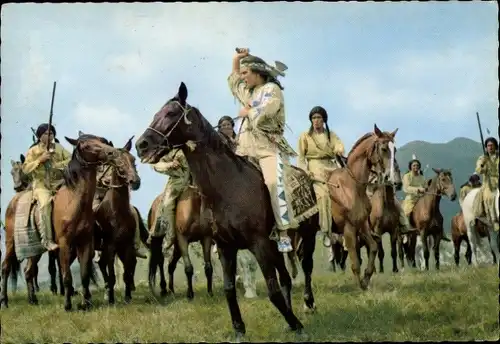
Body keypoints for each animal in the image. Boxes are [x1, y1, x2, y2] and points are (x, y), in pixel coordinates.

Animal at [93, 136, 143, 304]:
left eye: (133, 159)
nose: (135, 181)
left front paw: (127, 297)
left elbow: (126, 274)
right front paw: (111, 300)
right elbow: (113, 275)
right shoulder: (110, 247)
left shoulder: (126, 246)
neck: (117, 212)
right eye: (117, 162)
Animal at [134, 82, 398, 340]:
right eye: (383, 149)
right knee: (286, 277)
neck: (228, 186)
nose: (141, 144)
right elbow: (230, 288)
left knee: (305, 268)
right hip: (278, 241)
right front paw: (240, 329)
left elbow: (272, 289)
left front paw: (296, 324)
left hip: (306, 235)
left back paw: (307, 304)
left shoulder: (259, 243)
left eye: (170, 113)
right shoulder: (225, 246)